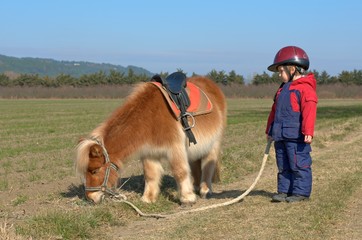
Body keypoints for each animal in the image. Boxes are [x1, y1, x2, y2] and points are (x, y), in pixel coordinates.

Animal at [74, 75, 226, 204]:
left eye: (94, 171)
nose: (90, 198)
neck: (149, 117)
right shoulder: (149, 153)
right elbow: (150, 174)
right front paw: (148, 198)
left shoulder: (175, 148)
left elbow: (180, 171)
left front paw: (187, 198)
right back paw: (195, 186)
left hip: (214, 143)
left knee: (208, 165)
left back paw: (205, 190)